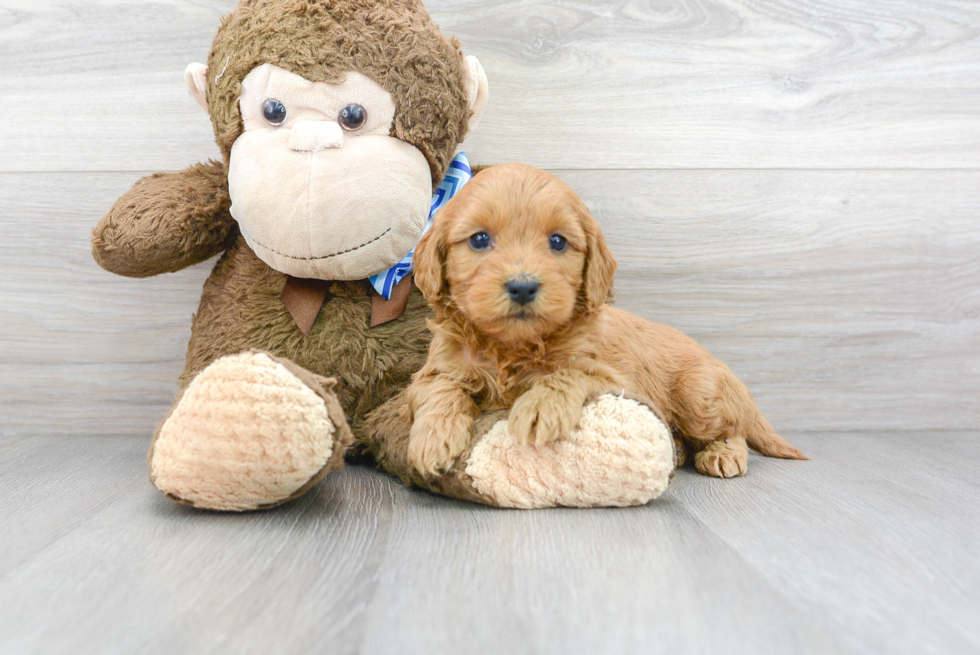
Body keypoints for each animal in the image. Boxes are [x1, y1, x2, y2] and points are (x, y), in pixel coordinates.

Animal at [404, 164, 804, 480]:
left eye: (558, 242)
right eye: (479, 239)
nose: (522, 287)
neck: (512, 345)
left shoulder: (616, 379)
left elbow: (567, 373)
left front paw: (539, 407)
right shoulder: (437, 368)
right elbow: (441, 390)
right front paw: (432, 439)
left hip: (699, 396)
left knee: (733, 428)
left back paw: (723, 453)